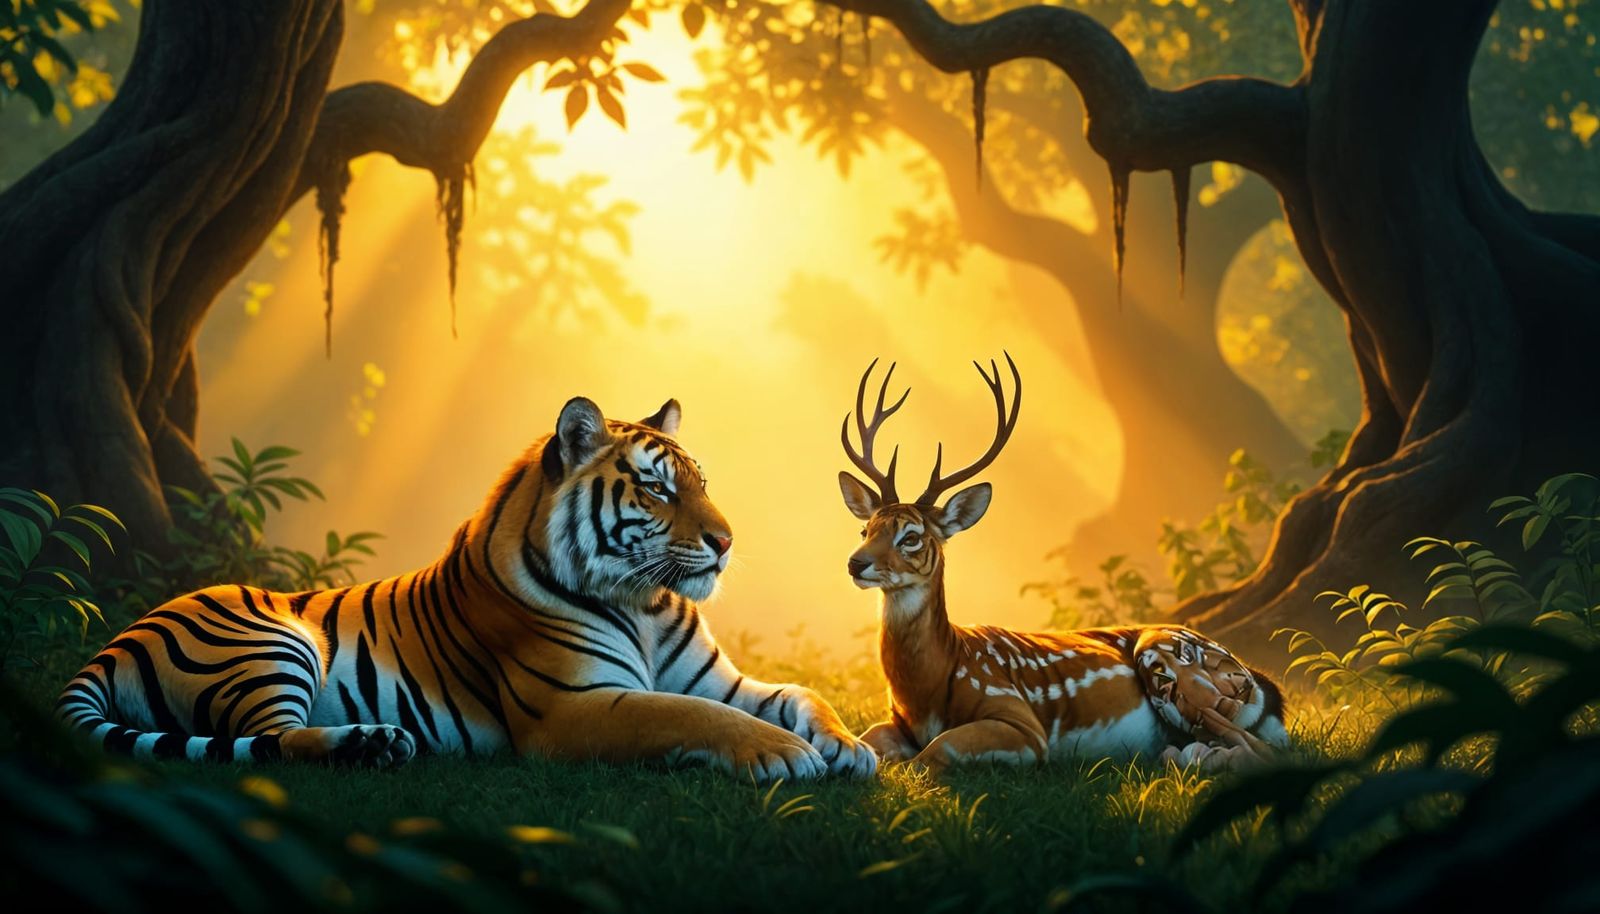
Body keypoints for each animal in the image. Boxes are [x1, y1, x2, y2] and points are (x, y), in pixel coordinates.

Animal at [57, 397, 878, 782]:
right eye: (655, 488)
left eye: (702, 483)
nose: (726, 541)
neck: (644, 604)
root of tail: (117, 640)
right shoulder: (572, 709)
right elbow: (684, 715)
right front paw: (783, 756)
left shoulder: (722, 680)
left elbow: (804, 695)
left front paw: (847, 749)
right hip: (273, 642)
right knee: (271, 742)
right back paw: (373, 745)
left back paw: (379, 743)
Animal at [836, 354, 1289, 774]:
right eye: (865, 530)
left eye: (911, 536)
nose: (856, 564)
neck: (927, 689)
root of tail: (1261, 683)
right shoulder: (896, 723)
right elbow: (869, 737)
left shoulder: (1019, 719)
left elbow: (931, 753)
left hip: (1179, 669)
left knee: (1261, 747)